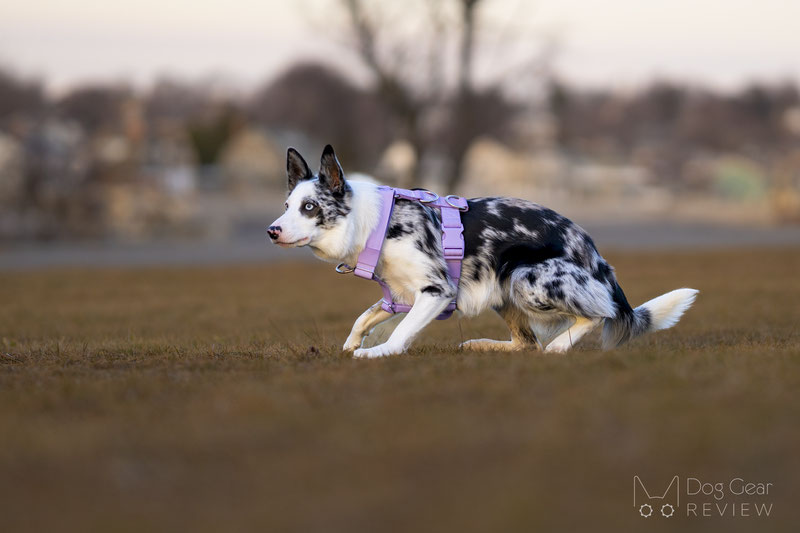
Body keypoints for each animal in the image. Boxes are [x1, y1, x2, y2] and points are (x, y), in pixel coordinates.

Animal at [268, 144, 692, 358]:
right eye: (287, 205)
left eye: (310, 207)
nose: (272, 231)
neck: (377, 223)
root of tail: (598, 259)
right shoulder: (399, 294)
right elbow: (365, 317)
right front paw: (352, 344)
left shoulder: (436, 292)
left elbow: (402, 332)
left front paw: (377, 352)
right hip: (502, 292)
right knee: (525, 343)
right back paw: (482, 345)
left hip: (524, 277)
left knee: (597, 313)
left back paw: (559, 347)